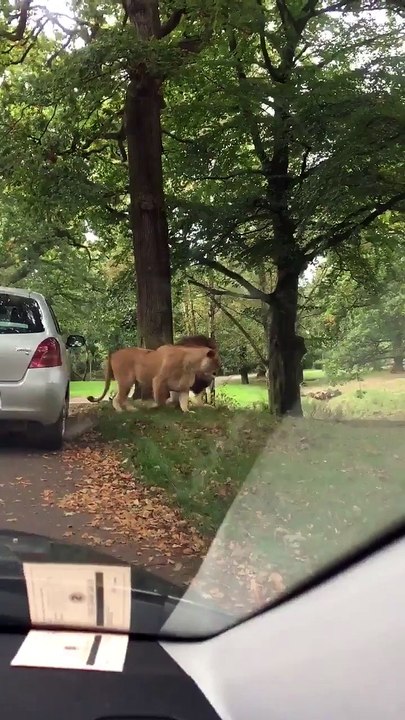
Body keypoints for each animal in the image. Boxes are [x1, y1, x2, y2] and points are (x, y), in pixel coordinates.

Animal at [87, 344, 220, 413]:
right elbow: (160, 399)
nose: (217, 371)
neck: (192, 365)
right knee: (117, 398)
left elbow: (183, 402)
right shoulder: (158, 380)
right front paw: (154, 407)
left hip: (129, 382)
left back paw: (132, 409)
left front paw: (188, 411)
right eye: (216, 361)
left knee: (122, 397)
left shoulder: (184, 387)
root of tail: (113, 353)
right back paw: (120, 410)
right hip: (126, 380)